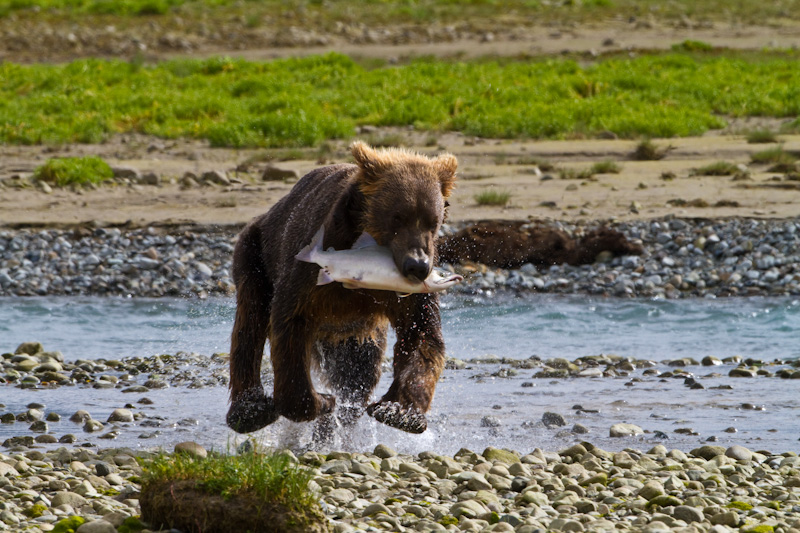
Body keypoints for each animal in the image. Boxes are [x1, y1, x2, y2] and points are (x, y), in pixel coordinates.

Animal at [228, 142, 460, 436]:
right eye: (397, 217)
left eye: (433, 220)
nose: (417, 265)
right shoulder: (313, 267)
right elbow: (290, 323)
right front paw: (322, 401)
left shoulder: (407, 294)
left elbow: (421, 333)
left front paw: (399, 412)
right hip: (255, 254)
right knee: (250, 323)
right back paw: (252, 410)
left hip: (356, 332)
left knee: (359, 369)